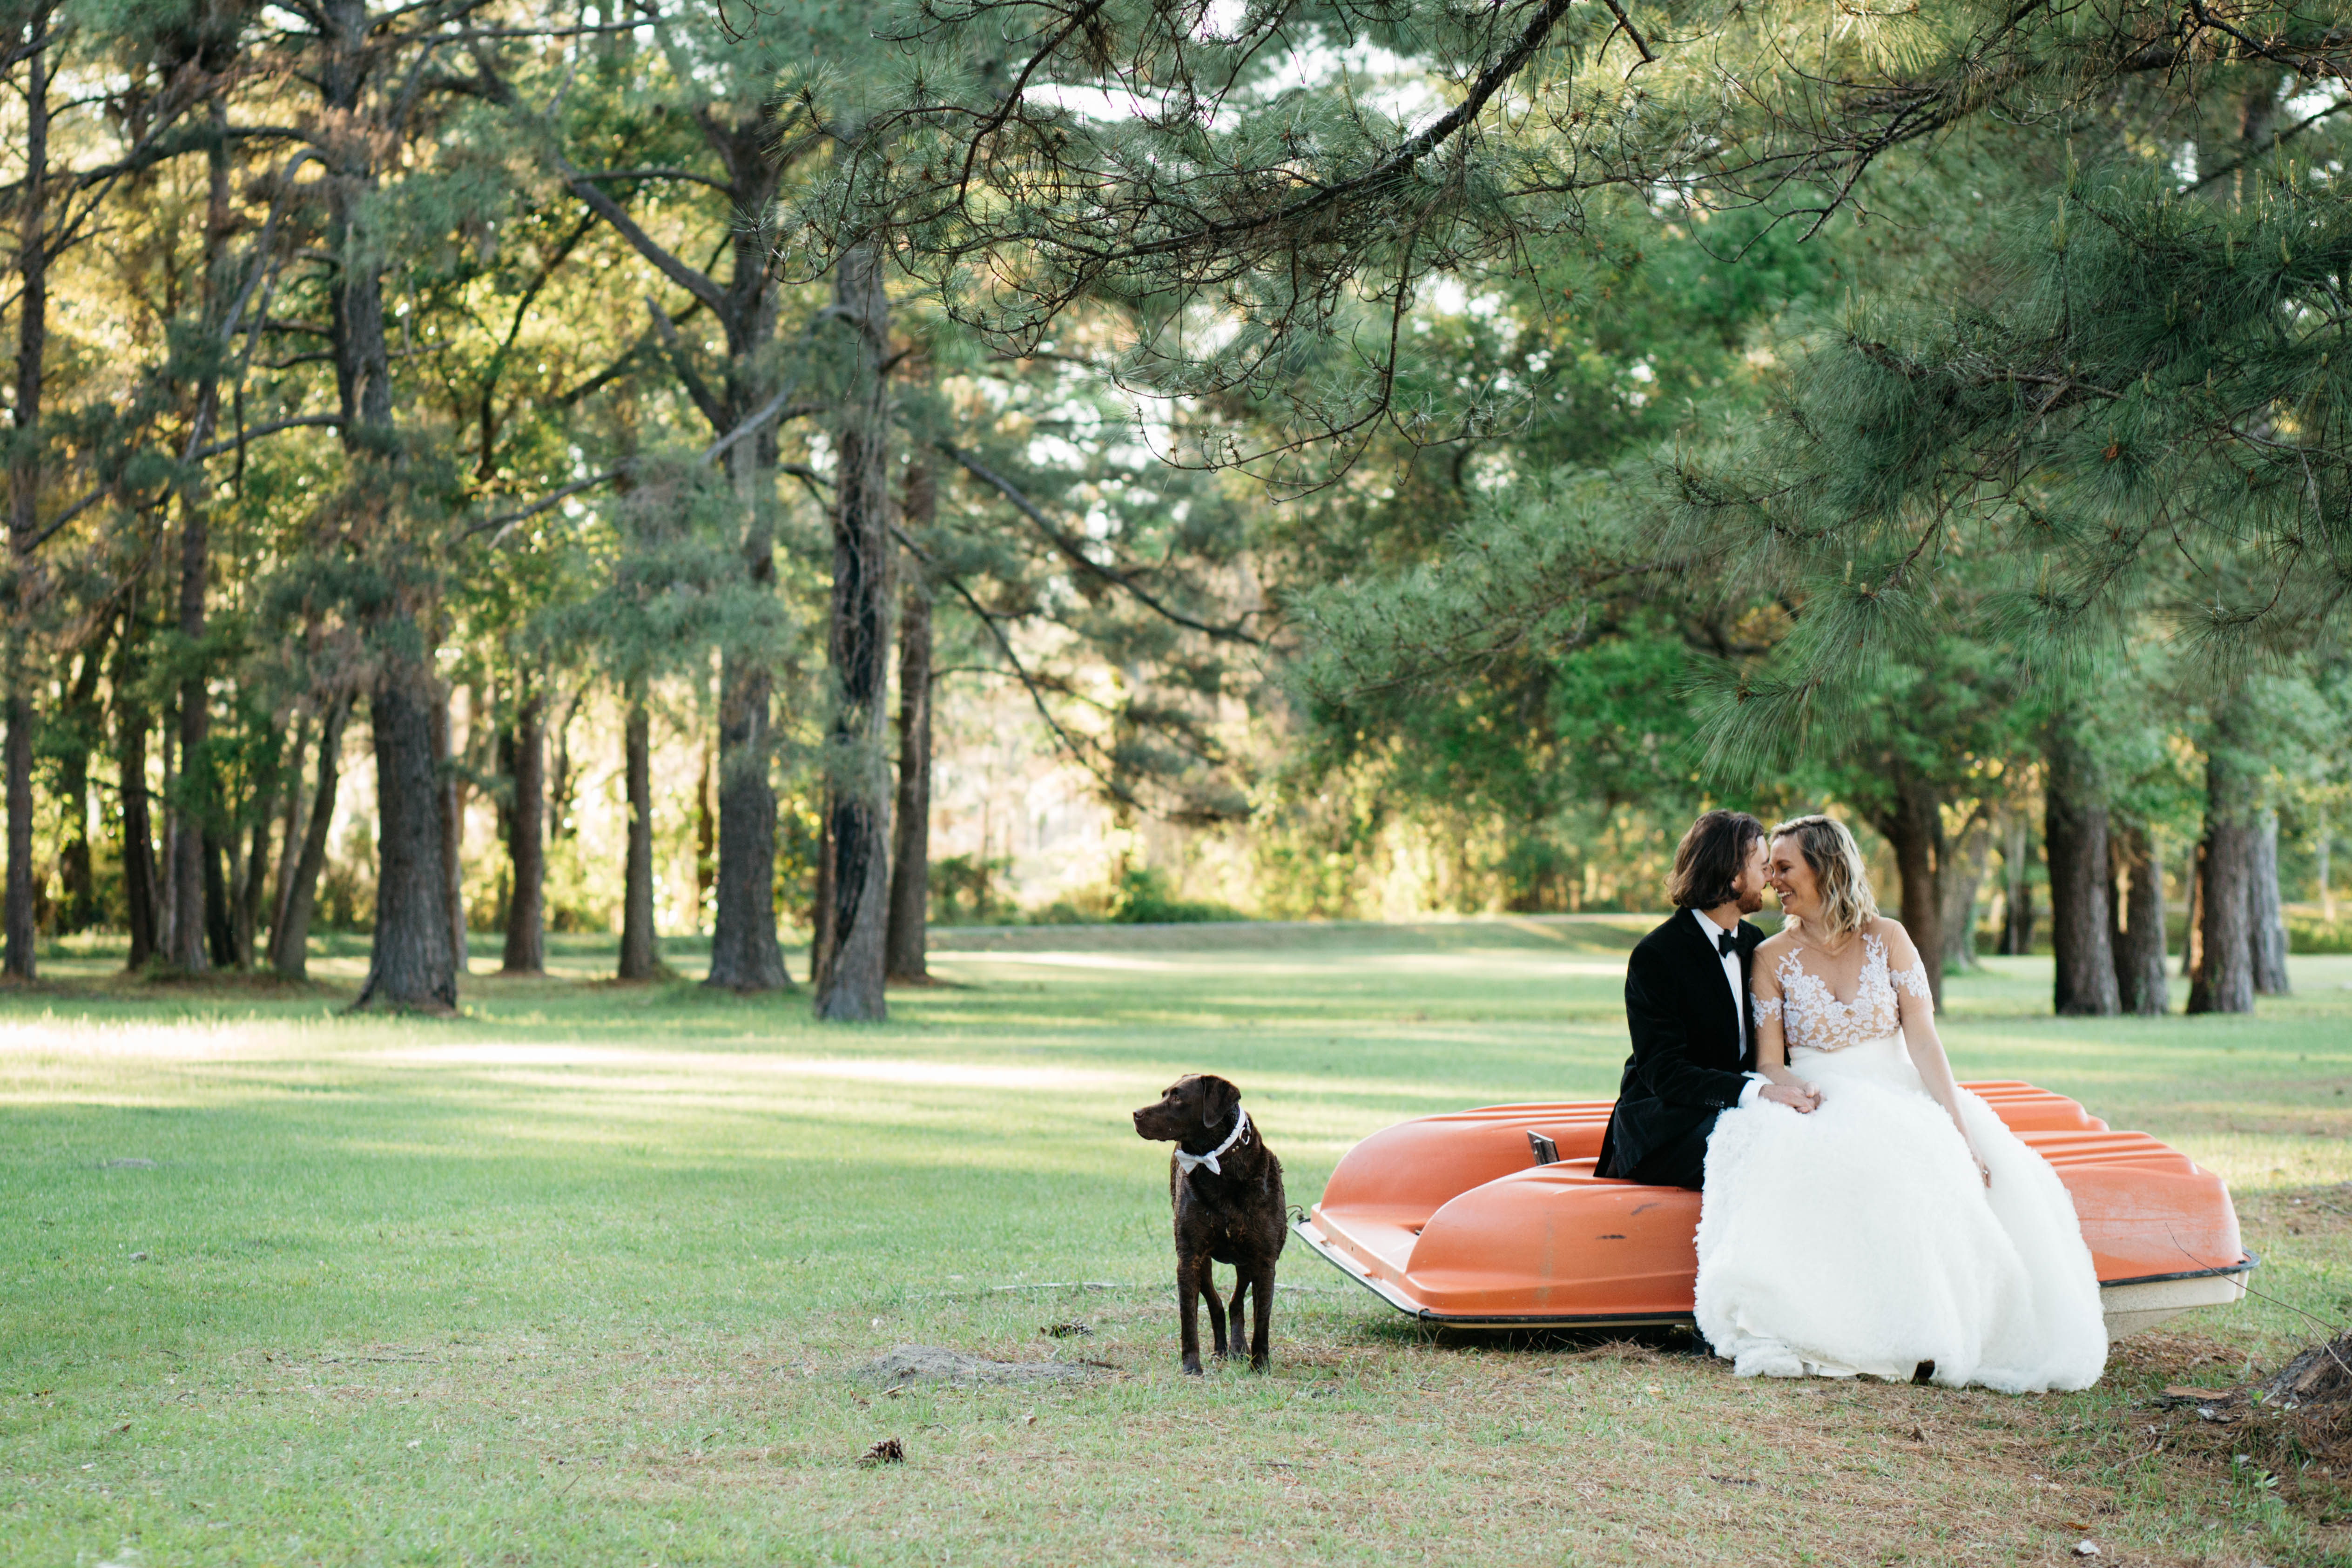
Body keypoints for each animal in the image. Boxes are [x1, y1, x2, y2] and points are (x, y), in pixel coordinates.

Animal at [1133, 1081, 1289, 1373]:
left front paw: (1260, 1366)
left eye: (1178, 1098)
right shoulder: (1189, 1258)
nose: (1136, 1114)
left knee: (1236, 1302)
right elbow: (1189, 1319)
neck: (1220, 1166)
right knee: (1217, 1304)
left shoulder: (1264, 1260)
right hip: (1205, 1263)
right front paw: (1192, 1367)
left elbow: (1262, 1319)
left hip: (1245, 1262)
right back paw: (1222, 1350)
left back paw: (1239, 1348)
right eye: (1164, 1094)